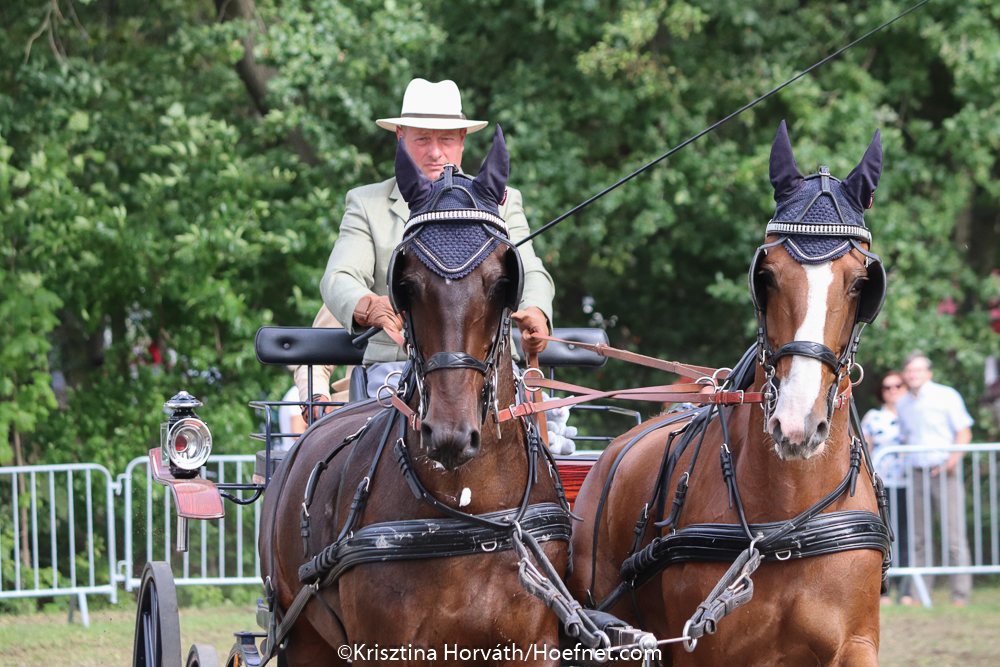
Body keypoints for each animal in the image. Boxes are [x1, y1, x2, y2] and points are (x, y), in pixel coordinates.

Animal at [258, 127, 577, 666]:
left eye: (502, 281)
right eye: (405, 283)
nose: (450, 434)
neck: (470, 512)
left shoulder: (534, 643)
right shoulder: (386, 646)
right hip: (302, 636)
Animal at [568, 121, 892, 666]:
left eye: (858, 284)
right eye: (767, 275)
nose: (796, 423)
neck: (784, 528)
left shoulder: (856, 644)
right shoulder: (702, 647)